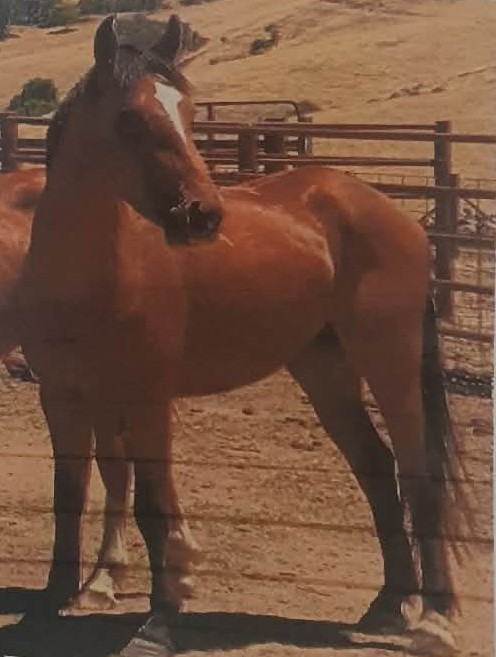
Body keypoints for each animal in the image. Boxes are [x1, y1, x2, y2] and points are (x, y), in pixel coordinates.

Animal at [17, 14, 471, 655]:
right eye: (130, 117)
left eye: (189, 111)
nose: (203, 215)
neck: (89, 275)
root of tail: (392, 213)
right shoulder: (60, 396)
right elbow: (70, 494)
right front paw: (53, 601)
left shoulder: (147, 399)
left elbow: (154, 505)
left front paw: (160, 620)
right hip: (324, 369)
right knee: (378, 469)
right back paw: (387, 606)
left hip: (391, 364)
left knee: (418, 475)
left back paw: (434, 618)